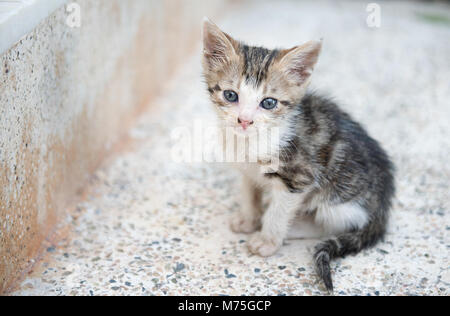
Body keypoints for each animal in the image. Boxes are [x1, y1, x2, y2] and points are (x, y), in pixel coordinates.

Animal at [200, 18, 394, 292]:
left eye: (269, 102)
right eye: (230, 95)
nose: (245, 121)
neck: (251, 142)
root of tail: (382, 208)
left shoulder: (298, 177)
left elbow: (279, 211)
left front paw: (268, 240)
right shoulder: (246, 170)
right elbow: (249, 192)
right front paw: (249, 218)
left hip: (339, 200)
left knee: (331, 224)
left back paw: (295, 227)